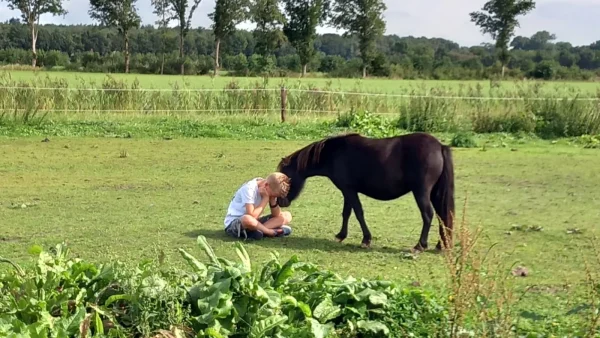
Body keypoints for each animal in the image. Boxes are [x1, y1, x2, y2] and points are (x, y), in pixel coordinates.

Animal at [276, 132, 454, 254]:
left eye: (285, 178)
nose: (281, 202)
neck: (335, 153)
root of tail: (439, 146)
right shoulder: (347, 190)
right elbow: (346, 213)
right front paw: (341, 235)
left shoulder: (349, 190)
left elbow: (358, 213)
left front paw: (366, 240)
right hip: (435, 193)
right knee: (442, 215)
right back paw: (441, 245)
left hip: (421, 192)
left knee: (428, 215)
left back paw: (420, 245)